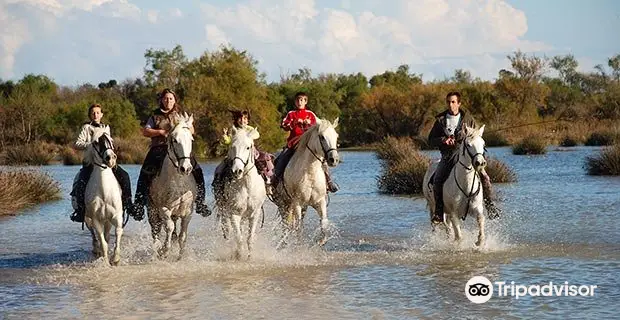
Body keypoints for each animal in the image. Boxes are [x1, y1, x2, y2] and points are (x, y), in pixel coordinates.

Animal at [83, 127, 124, 264]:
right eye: (96, 142)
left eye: (111, 140)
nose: (110, 158)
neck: (104, 192)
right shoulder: (96, 219)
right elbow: (102, 241)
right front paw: (105, 259)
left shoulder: (116, 216)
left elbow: (118, 233)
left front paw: (115, 258)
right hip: (88, 219)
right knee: (93, 234)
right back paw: (96, 250)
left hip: (107, 221)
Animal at [148, 112, 196, 258]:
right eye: (174, 140)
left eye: (191, 140)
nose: (186, 168)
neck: (178, 182)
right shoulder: (164, 209)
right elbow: (169, 227)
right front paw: (164, 250)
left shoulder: (188, 212)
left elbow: (182, 235)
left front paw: (180, 255)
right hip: (152, 210)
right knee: (156, 229)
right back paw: (157, 247)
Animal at [213, 126, 266, 258]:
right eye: (233, 146)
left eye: (248, 147)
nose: (237, 171)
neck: (246, 186)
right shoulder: (234, 213)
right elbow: (238, 237)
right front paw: (238, 255)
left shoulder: (254, 214)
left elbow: (249, 238)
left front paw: (249, 257)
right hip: (224, 211)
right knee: (228, 231)